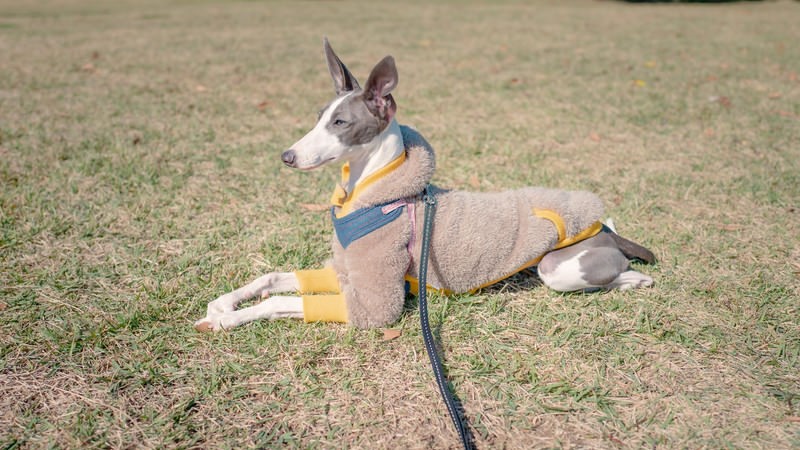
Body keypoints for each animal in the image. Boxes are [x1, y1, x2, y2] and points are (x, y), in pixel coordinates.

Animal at [192, 38, 648, 332]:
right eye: (318, 116)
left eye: (340, 122)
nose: (287, 156)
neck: (373, 194)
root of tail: (604, 230)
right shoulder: (344, 270)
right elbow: (272, 279)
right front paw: (225, 302)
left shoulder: (376, 300)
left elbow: (283, 300)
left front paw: (229, 318)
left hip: (558, 267)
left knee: (612, 274)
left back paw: (637, 279)